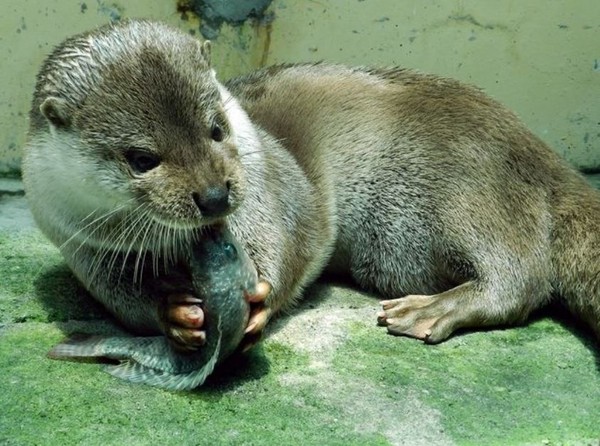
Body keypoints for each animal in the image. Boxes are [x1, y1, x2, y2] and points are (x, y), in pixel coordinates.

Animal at [21, 20, 596, 358]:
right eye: (142, 159)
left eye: (216, 128)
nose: (214, 196)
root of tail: (547, 159)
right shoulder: (86, 248)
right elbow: (124, 303)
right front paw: (175, 314)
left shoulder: (275, 191)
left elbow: (297, 242)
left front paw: (259, 301)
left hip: (465, 186)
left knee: (520, 279)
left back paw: (428, 310)